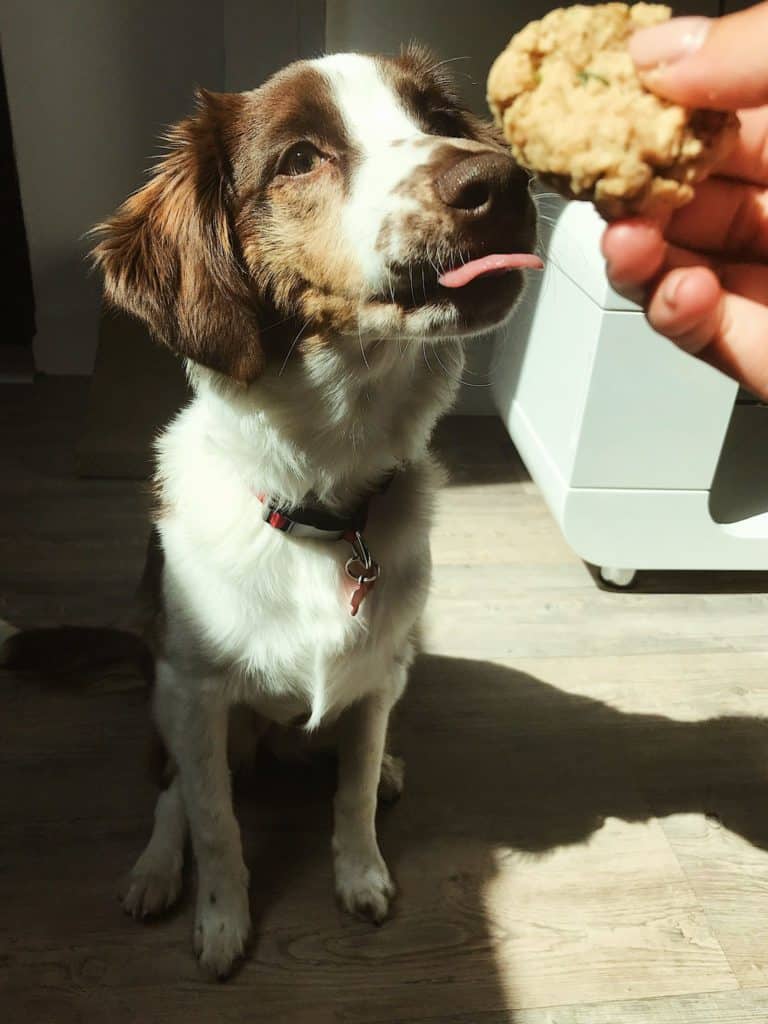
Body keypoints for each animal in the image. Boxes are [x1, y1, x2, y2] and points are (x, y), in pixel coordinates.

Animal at [85, 46, 536, 974]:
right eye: (299, 158)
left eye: (436, 117)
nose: (502, 181)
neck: (325, 503)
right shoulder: (195, 693)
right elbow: (215, 822)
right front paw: (222, 920)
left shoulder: (379, 671)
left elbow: (353, 789)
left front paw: (361, 873)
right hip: (169, 700)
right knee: (172, 790)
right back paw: (155, 870)